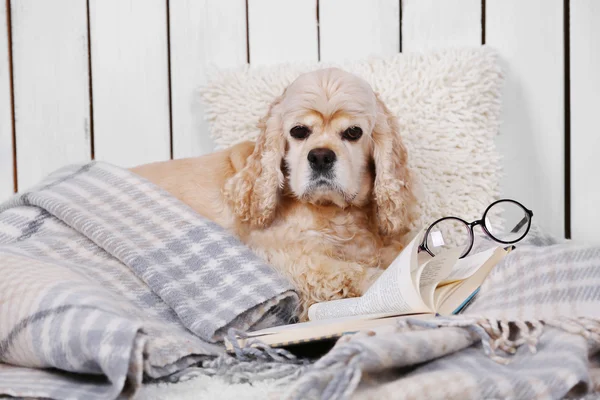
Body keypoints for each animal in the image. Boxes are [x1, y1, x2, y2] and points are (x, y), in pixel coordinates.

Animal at [134, 67, 418, 320]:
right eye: (299, 131)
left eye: (353, 132)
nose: (320, 157)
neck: (334, 213)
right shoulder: (278, 256)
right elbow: (347, 272)